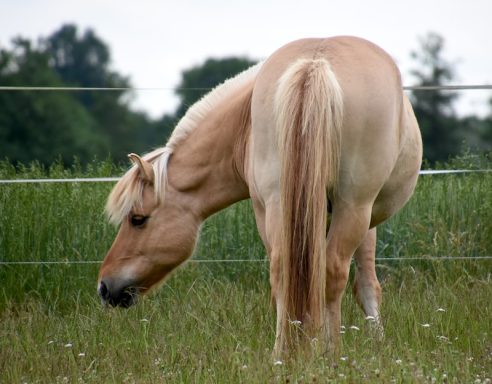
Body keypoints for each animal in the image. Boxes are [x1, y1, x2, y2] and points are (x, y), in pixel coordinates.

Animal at [97, 36, 422, 356]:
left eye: (137, 219)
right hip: (349, 207)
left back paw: (287, 354)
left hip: (281, 206)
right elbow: (362, 284)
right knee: (329, 273)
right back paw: (327, 355)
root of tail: (315, 63)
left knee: (283, 274)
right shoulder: (359, 216)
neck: (243, 123)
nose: (104, 286)